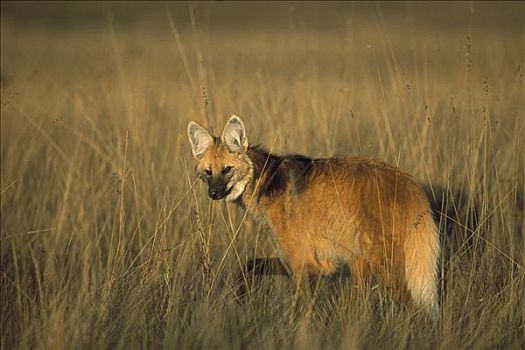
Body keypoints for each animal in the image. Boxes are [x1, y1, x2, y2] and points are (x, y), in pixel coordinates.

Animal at [186, 115, 440, 318]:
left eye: (227, 169)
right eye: (207, 172)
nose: (214, 193)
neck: (266, 181)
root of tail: (409, 184)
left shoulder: (300, 261)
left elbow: (304, 307)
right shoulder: (309, 262)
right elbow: (248, 265)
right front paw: (239, 295)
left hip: (382, 261)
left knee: (412, 306)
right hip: (360, 260)